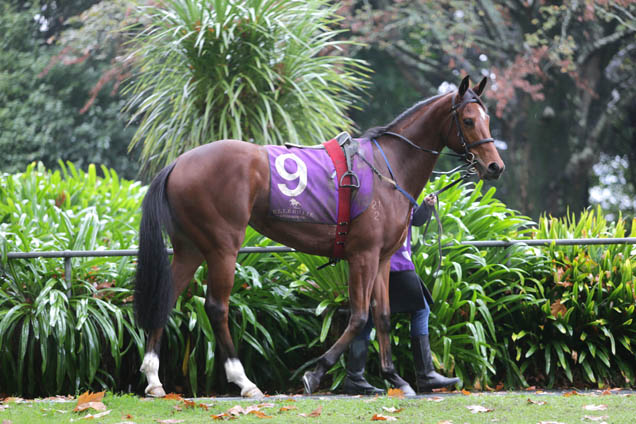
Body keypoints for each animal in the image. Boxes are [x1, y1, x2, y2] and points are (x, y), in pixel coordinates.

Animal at [135, 75, 506, 398]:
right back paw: (244, 381)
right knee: (217, 306)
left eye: (488, 119)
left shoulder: (383, 258)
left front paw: (394, 378)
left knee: (166, 298)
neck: (388, 169)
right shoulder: (363, 256)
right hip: (223, 247)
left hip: (190, 248)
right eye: (469, 120)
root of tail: (179, 163)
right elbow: (359, 317)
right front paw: (315, 373)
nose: (495, 167)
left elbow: (383, 317)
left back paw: (154, 379)